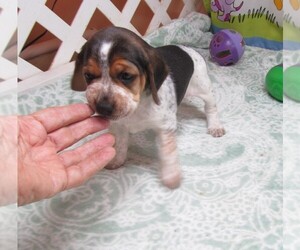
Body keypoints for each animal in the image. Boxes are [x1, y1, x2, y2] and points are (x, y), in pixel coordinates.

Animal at [71, 26, 225, 188]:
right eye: (88, 75)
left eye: (126, 75)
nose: (103, 107)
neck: (137, 107)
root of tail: (188, 49)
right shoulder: (118, 126)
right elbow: (120, 145)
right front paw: (117, 160)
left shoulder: (165, 127)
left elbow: (168, 151)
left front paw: (171, 175)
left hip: (203, 88)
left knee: (211, 107)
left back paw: (215, 126)